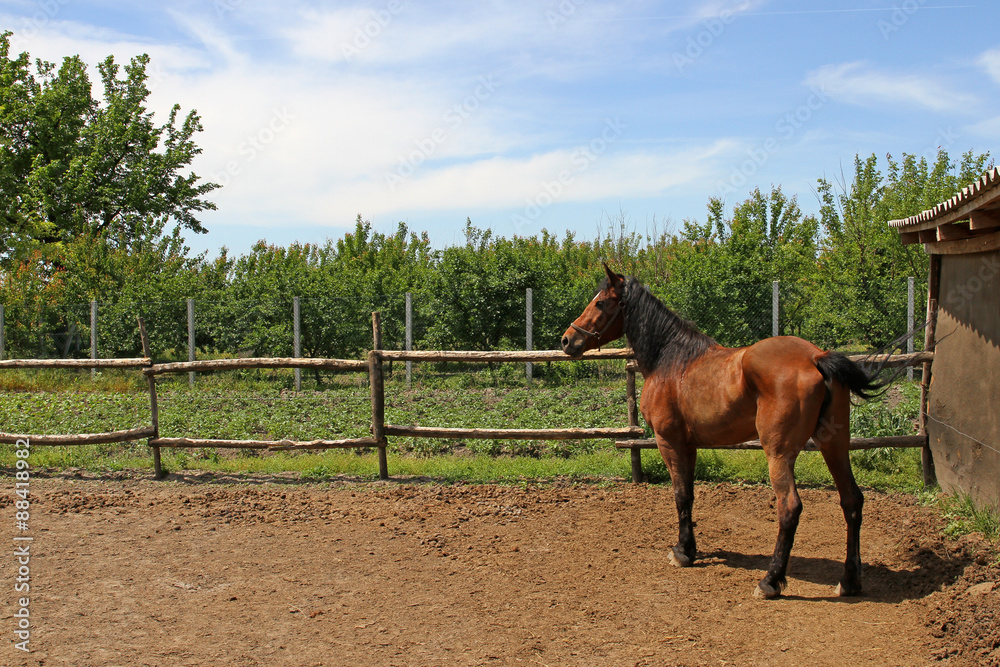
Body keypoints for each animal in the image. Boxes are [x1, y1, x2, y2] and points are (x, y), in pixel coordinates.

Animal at [562, 264, 883, 599]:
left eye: (601, 303)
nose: (567, 340)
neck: (671, 360)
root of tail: (815, 357)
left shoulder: (669, 442)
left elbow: (679, 494)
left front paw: (682, 553)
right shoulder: (688, 445)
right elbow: (689, 494)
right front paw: (689, 549)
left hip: (779, 453)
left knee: (790, 508)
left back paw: (770, 581)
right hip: (834, 445)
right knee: (851, 500)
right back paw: (849, 580)